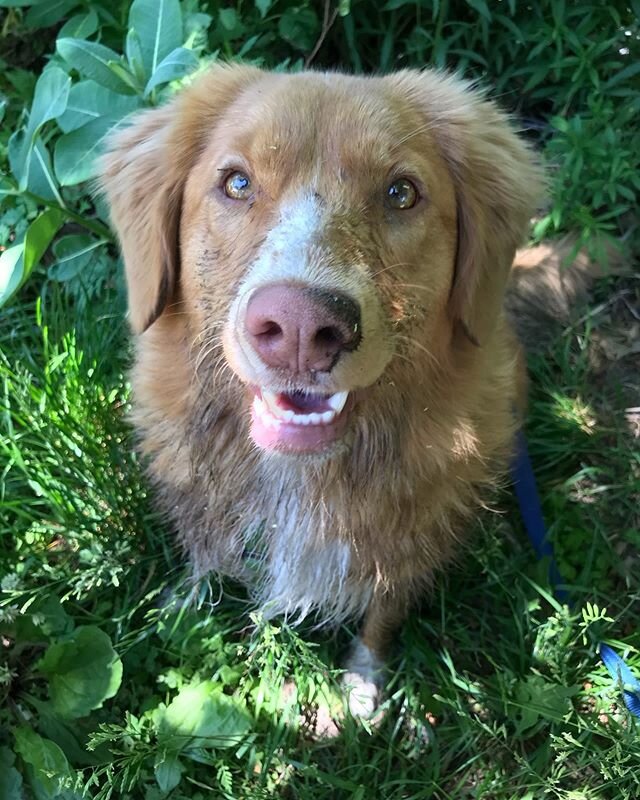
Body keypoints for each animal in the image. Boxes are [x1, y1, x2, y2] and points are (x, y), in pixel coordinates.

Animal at [100, 64, 544, 720]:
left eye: (401, 193)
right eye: (236, 183)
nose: (301, 329)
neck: (303, 476)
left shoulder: (407, 547)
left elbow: (381, 617)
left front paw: (362, 684)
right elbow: (205, 552)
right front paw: (184, 606)